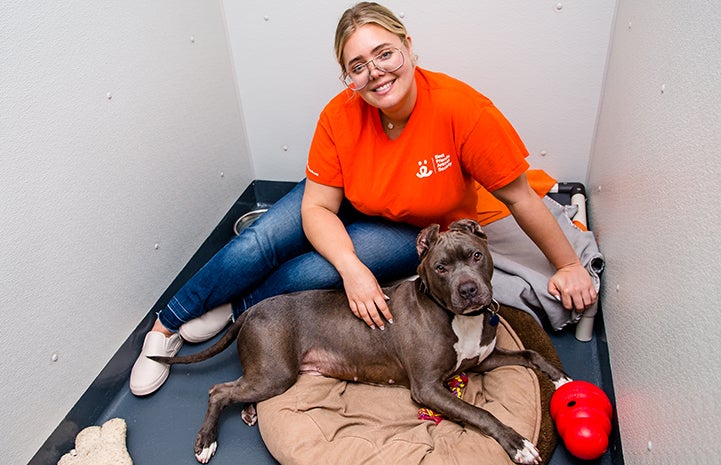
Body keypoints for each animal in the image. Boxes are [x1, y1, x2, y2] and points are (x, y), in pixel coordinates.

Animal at [155, 218, 572, 464]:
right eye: (441, 267)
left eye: (475, 256)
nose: (469, 290)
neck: (459, 318)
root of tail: (253, 308)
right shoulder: (427, 388)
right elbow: (480, 413)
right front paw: (518, 444)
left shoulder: (483, 359)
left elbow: (529, 352)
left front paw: (560, 377)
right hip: (277, 372)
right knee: (218, 391)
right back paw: (206, 441)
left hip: (268, 374)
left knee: (237, 386)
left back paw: (250, 411)